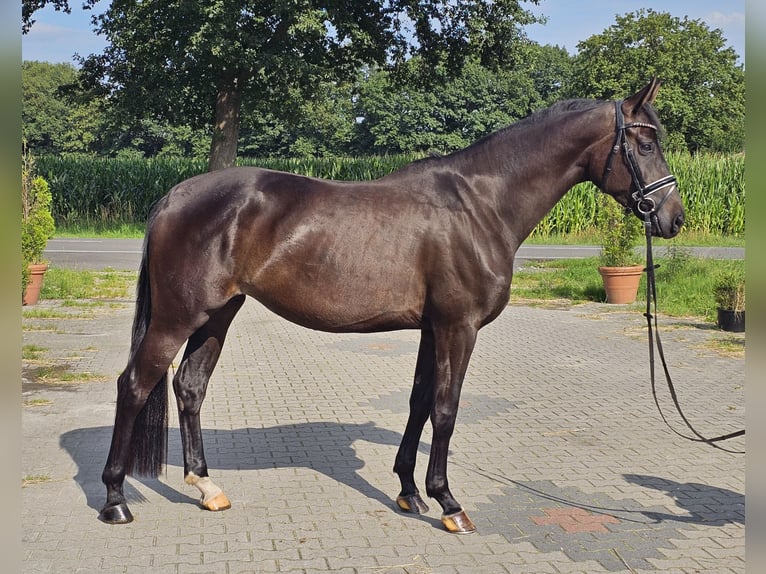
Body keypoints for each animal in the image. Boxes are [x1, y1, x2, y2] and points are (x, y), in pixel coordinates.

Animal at [100, 77, 684, 536]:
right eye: (645, 141)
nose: (672, 217)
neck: (479, 205)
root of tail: (174, 196)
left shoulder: (432, 328)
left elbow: (419, 402)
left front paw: (409, 491)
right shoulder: (458, 327)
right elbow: (446, 410)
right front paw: (449, 503)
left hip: (217, 314)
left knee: (189, 387)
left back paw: (205, 487)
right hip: (177, 318)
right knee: (134, 385)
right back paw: (115, 500)